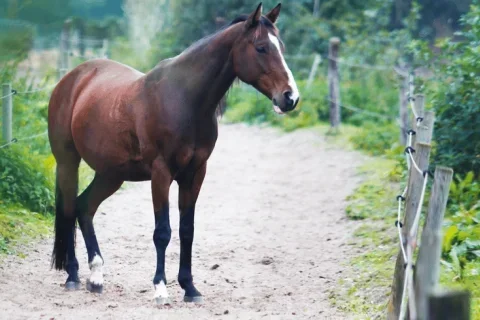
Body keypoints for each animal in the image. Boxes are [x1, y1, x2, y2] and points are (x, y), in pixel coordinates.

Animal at [47, 1, 298, 302]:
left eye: (280, 46)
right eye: (261, 47)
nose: (290, 97)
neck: (184, 99)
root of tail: (72, 80)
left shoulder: (195, 174)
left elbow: (187, 230)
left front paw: (189, 287)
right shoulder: (161, 173)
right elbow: (162, 232)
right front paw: (160, 287)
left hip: (110, 175)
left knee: (85, 207)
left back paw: (96, 277)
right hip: (68, 163)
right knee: (69, 208)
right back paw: (73, 275)